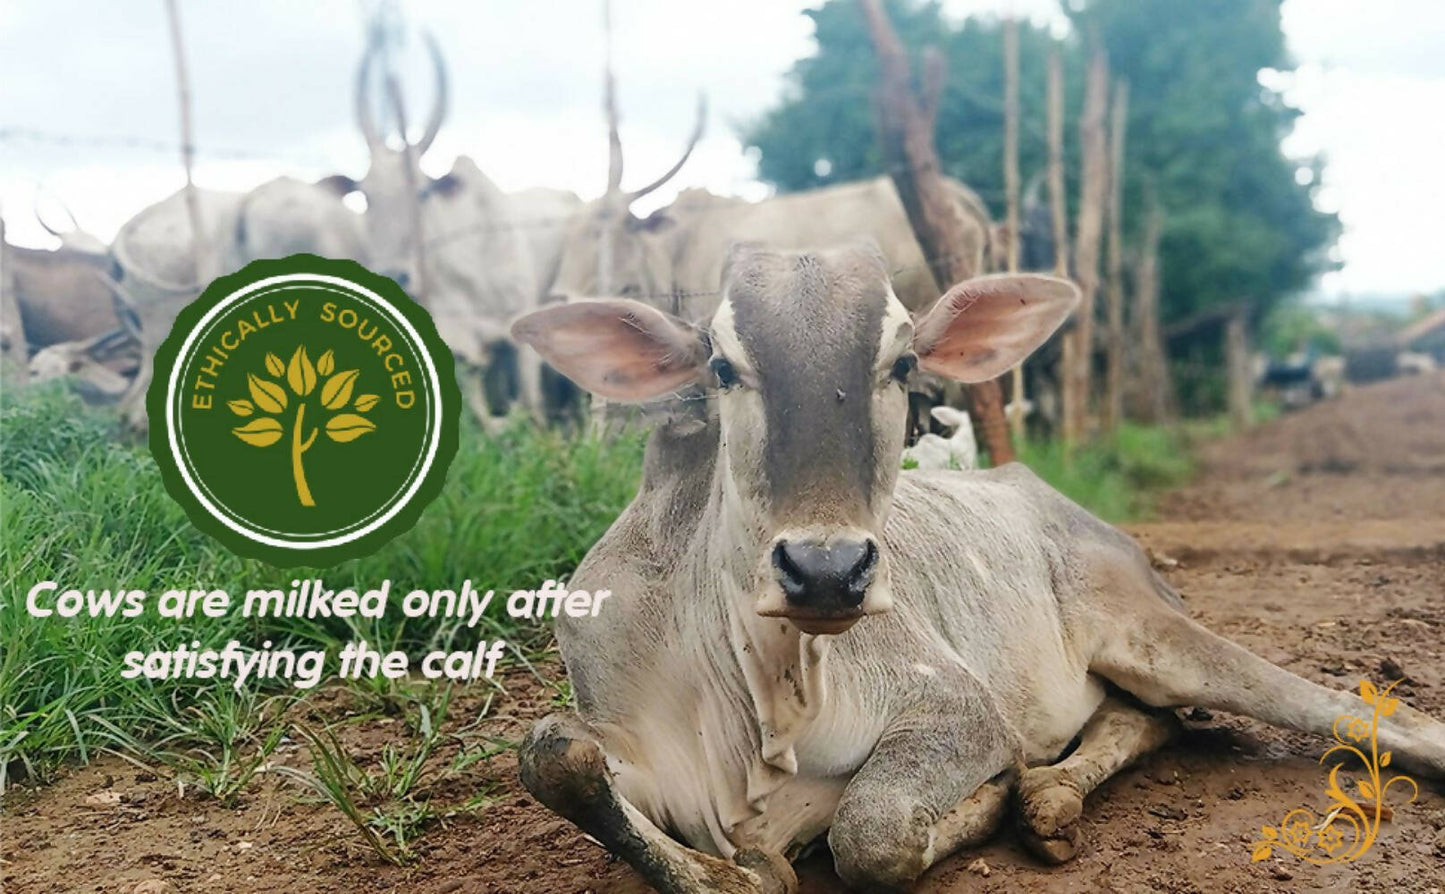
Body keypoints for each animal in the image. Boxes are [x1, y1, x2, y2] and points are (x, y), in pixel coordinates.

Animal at [509, 242, 1445, 893]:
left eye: (901, 363)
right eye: (720, 365)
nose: (826, 571)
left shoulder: (955, 707)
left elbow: (872, 834)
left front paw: (983, 800)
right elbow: (555, 756)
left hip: (1154, 634)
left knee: (1354, 713)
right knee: (1152, 720)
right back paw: (1049, 798)